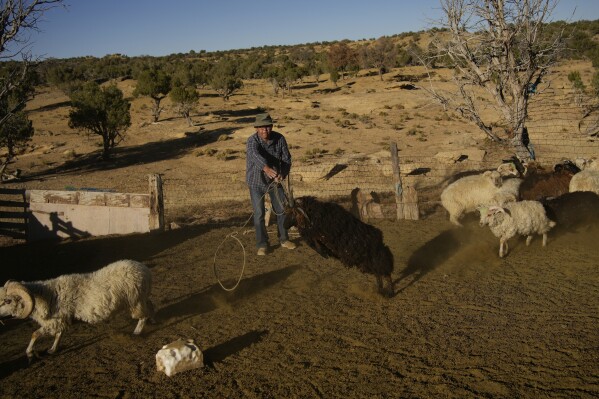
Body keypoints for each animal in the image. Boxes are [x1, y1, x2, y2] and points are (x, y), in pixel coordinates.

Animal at [0, 260, 155, 360]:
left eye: (8, 301)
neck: (45, 295)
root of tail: (146, 270)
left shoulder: (54, 321)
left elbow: (35, 334)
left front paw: (29, 352)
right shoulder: (61, 319)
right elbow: (59, 334)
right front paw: (52, 349)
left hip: (135, 300)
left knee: (142, 316)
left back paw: (136, 333)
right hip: (141, 297)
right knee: (150, 306)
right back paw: (151, 320)